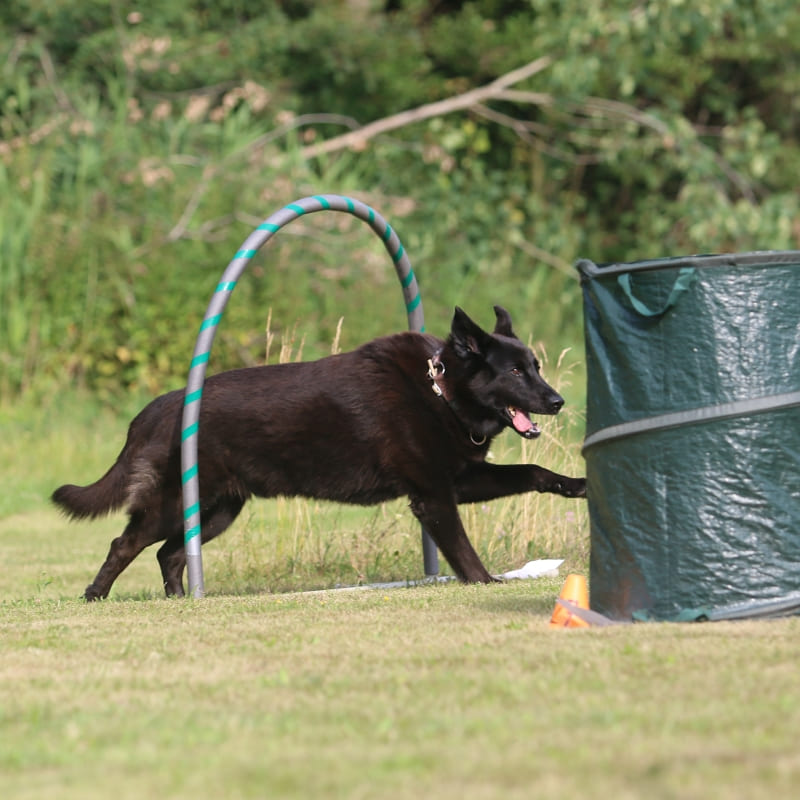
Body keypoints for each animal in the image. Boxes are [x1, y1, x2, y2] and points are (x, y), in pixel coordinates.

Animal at [53, 306, 584, 600]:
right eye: (514, 372)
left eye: (536, 367)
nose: (558, 401)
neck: (442, 392)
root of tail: (161, 406)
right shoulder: (434, 497)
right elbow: (461, 549)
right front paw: (485, 583)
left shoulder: (460, 481)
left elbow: (533, 470)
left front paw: (577, 484)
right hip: (175, 504)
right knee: (125, 543)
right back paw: (94, 595)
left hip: (217, 510)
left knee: (170, 554)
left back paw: (180, 599)